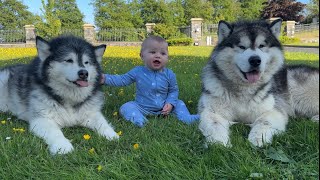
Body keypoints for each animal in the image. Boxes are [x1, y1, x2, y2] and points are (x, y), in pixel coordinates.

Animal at [199, 19, 318, 147]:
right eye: (242, 47)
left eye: (261, 46)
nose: (255, 60)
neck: (245, 88)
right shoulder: (211, 111)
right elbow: (215, 124)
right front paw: (218, 143)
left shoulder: (275, 110)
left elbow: (263, 121)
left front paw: (257, 139)